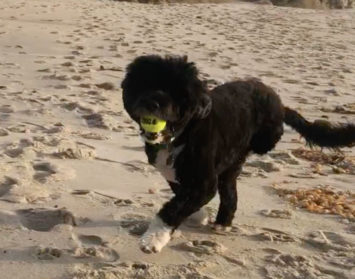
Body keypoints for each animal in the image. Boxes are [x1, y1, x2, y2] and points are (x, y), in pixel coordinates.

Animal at [121, 54, 355, 254]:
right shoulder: (176, 175)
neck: (182, 134)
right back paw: (223, 222)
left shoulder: (204, 183)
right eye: (145, 83)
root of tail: (280, 104)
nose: (152, 102)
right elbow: (181, 197)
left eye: (178, 92)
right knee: (230, 191)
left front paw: (152, 239)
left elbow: (173, 208)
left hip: (263, 140)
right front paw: (200, 215)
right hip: (231, 164)